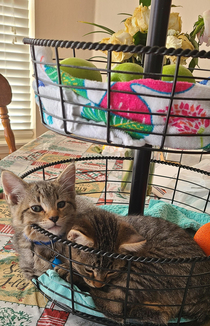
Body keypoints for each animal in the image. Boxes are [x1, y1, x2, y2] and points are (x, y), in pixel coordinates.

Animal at [56, 202, 210, 324]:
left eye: (111, 272)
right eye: (89, 270)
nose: (99, 284)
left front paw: (71, 272)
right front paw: (67, 266)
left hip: (143, 271)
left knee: (118, 308)